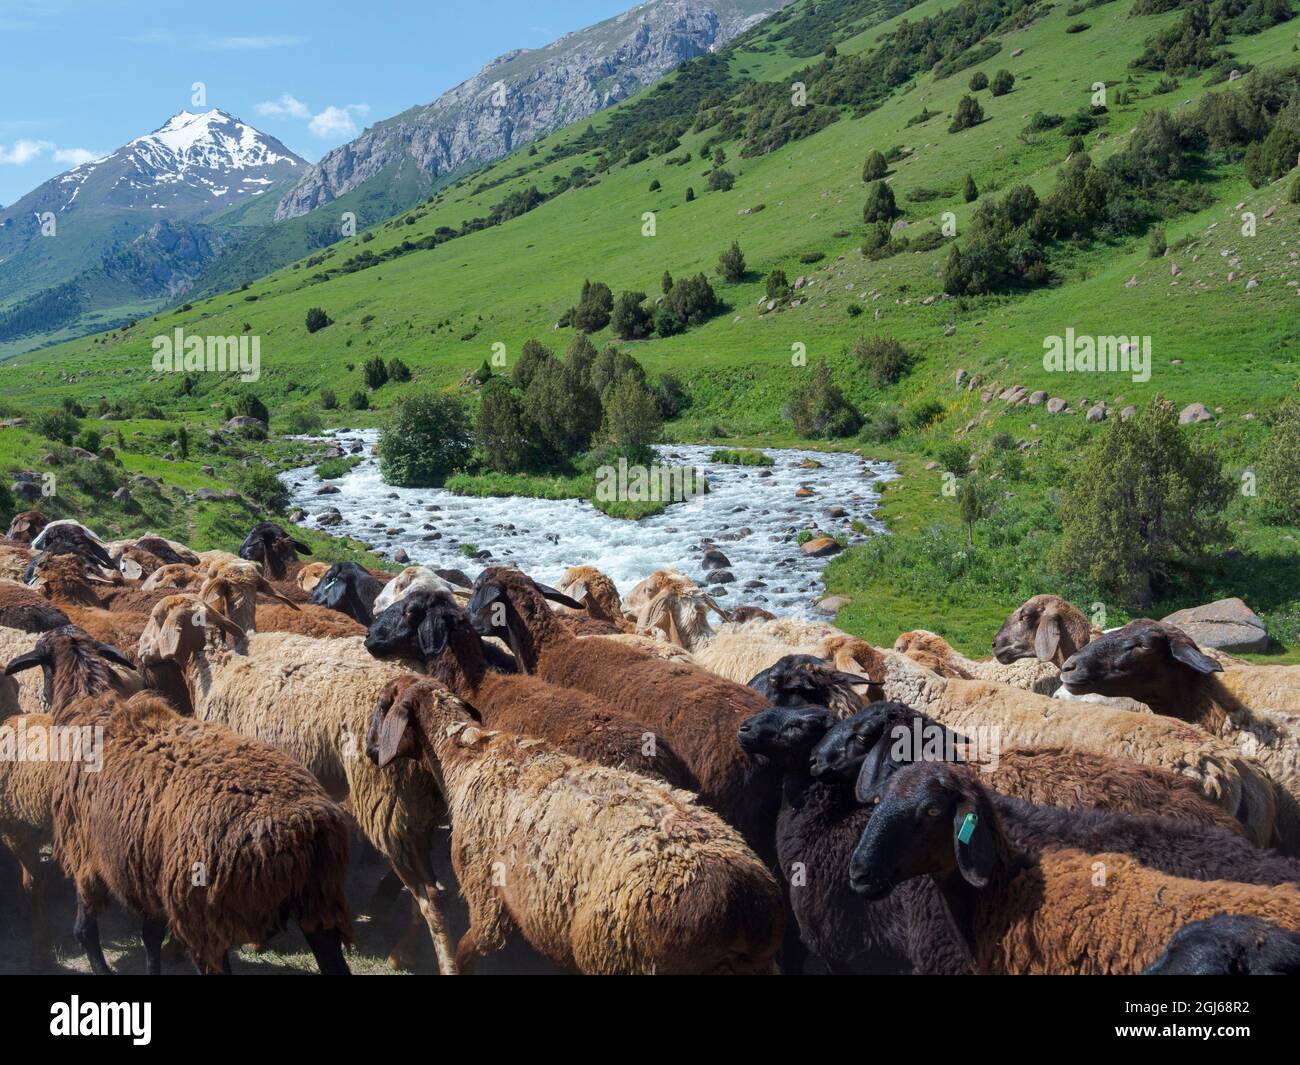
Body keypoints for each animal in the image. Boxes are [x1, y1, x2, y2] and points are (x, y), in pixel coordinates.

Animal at [50, 690, 352, 974]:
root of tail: (301, 826)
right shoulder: (147, 869)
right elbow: (150, 937)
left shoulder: (85, 856)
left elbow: (87, 930)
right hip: (319, 901)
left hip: (202, 915)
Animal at [135, 594, 457, 973]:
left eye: (157, 618)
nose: (139, 651)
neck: (217, 673)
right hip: (416, 805)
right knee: (430, 891)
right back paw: (406, 949)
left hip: (386, 801)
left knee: (428, 896)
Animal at [366, 676, 785, 974]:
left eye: (383, 704)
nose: (370, 751)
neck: (470, 759)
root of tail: (743, 899)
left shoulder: (486, 895)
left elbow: (472, 948)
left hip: (616, 956)